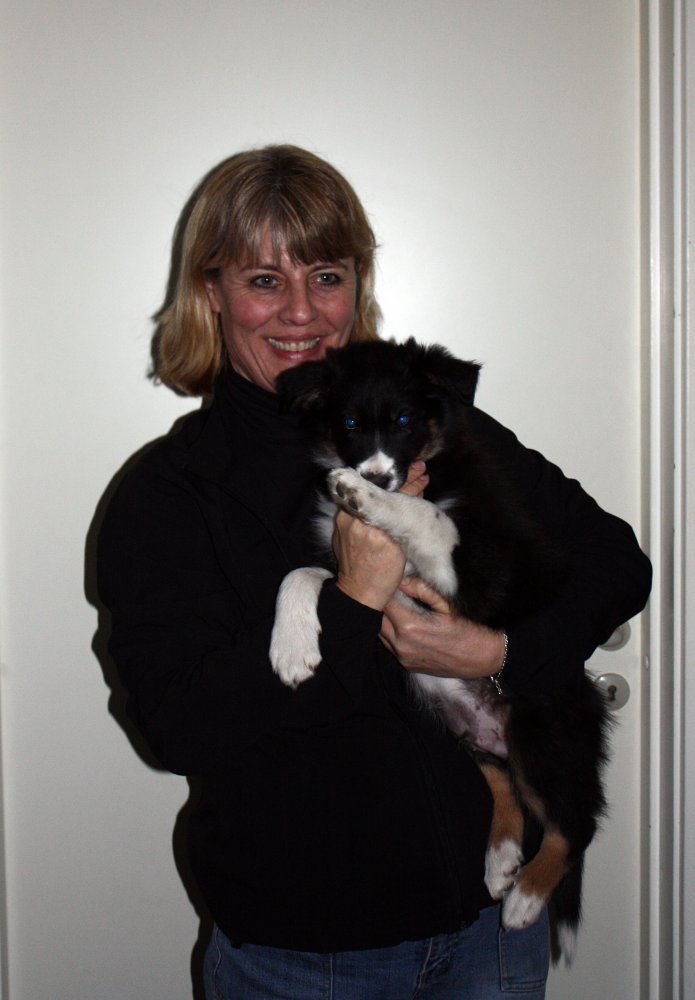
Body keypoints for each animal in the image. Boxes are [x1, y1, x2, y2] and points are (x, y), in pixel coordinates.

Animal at [269, 337, 611, 963]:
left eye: (405, 420)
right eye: (349, 424)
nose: (377, 477)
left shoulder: (478, 572)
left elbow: (427, 515)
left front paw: (361, 494)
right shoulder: (358, 577)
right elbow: (301, 573)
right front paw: (292, 648)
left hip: (543, 730)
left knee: (574, 823)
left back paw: (526, 898)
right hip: (460, 728)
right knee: (504, 783)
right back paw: (500, 861)